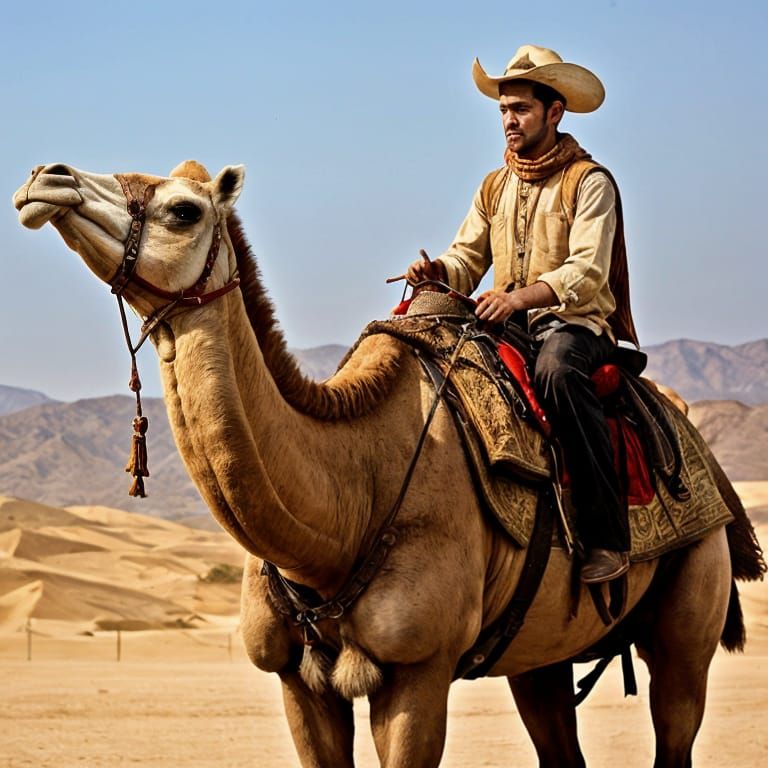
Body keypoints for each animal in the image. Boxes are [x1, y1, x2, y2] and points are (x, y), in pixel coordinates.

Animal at [13, 160, 764, 768]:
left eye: (182, 210)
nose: (45, 178)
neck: (350, 500)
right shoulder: (294, 680)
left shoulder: (418, 670)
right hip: (540, 652)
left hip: (687, 620)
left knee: (675, 716)